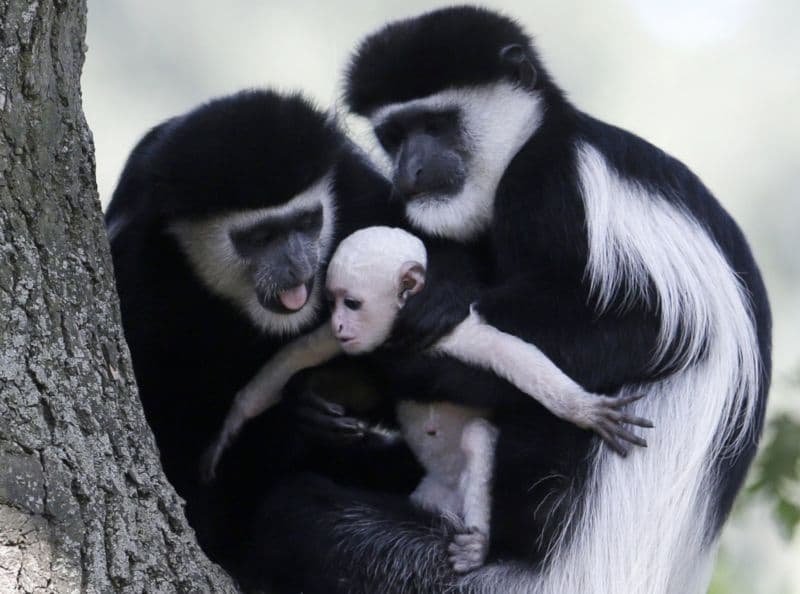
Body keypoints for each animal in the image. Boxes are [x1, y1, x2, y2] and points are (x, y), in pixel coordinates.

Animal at [253, 5, 772, 592]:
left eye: (436, 125)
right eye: (393, 134)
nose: (409, 173)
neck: (533, 138)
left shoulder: (549, 187)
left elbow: (643, 327)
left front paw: (416, 328)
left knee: (300, 512)